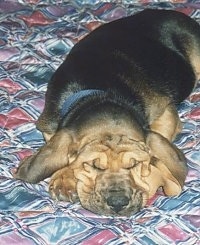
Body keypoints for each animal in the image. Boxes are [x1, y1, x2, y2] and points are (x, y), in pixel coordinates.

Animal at [14, 9, 200, 216]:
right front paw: (64, 176)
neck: (100, 95)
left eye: (133, 164)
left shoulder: (166, 112)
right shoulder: (49, 126)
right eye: (94, 165)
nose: (118, 203)